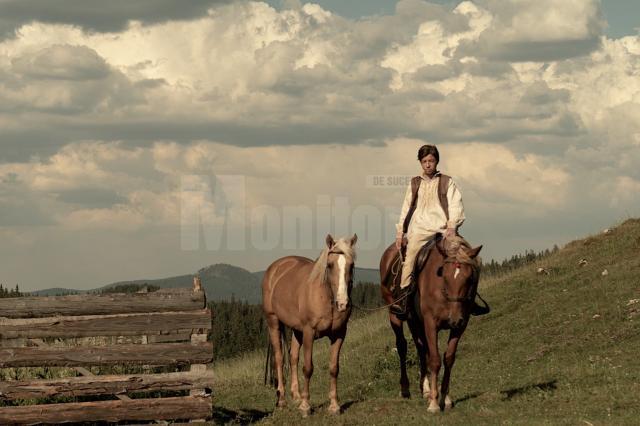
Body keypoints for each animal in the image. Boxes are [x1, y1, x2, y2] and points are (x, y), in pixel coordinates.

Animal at [262, 233, 358, 416]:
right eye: (329, 265)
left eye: (352, 265)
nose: (343, 303)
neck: (326, 296)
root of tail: (276, 267)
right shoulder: (309, 332)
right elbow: (308, 368)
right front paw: (306, 406)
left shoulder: (339, 334)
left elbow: (334, 368)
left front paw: (334, 406)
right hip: (273, 322)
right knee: (279, 358)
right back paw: (282, 400)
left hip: (296, 330)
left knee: (293, 357)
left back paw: (296, 396)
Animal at [380, 235, 480, 412]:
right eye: (444, 276)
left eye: (469, 278)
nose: (454, 319)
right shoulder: (431, 324)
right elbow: (434, 359)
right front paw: (434, 403)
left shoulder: (460, 326)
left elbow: (448, 358)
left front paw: (445, 398)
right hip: (395, 315)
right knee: (402, 346)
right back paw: (405, 389)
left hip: (414, 320)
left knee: (420, 348)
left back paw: (425, 389)